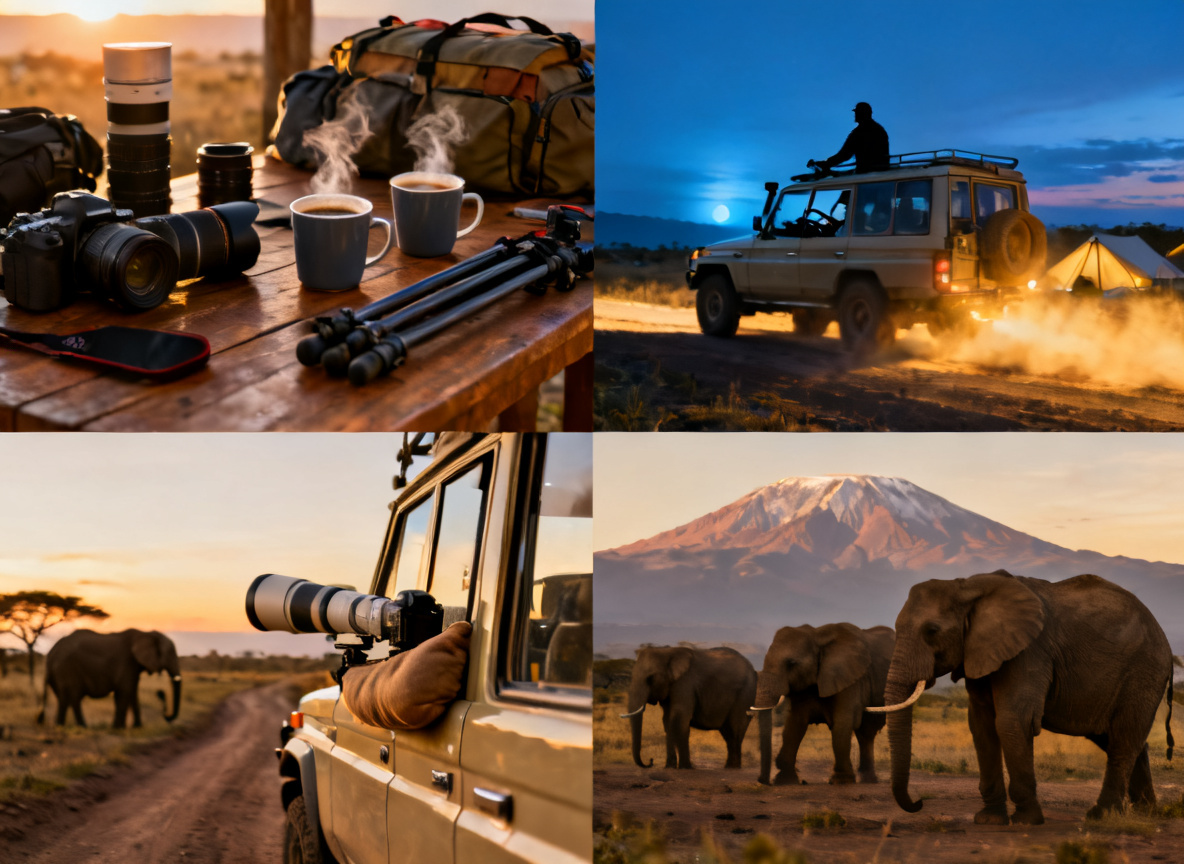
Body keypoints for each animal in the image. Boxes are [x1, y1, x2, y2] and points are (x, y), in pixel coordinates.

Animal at [38, 629, 182, 729]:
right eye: (170, 653)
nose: (160, 693)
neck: (146, 633)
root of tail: (50, 654)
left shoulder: (133, 667)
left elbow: (132, 693)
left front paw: (136, 727)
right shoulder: (127, 663)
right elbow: (125, 691)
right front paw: (118, 728)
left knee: (64, 698)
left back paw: (60, 725)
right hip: (67, 668)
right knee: (73, 697)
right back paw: (83, 727)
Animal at [619, 645, 757, 770]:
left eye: (650, 679)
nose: (651, 761)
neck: (667, 651)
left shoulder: (685, 683)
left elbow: (679, 718)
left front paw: (685, 767)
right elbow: (667, 721)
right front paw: (669, 767)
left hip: (745, 693)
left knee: (735, 729)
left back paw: (733, 768)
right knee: (728, 733)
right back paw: (730, 767)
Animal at [750, 623, 894, 786]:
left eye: (791, 663)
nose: (763, 781)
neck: (817, 636)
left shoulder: (848, 678)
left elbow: (842, 722)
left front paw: (840, 781)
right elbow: (794, 726)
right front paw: (785, 781)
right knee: (865, 733)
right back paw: (867, 780)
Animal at [874, 570, 1173, 825]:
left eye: (932, 630)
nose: (919, 803)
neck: (966, 586)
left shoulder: (1030, 650)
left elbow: (1012, 721)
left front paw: (1027, 820)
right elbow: (981, 725)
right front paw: (989, 820)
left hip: (1144, 672)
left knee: (1123, 738)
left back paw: (1102, 815)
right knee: (1120, 739)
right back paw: (1147, 812)